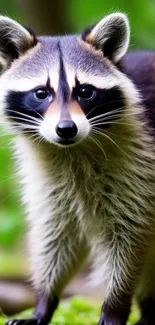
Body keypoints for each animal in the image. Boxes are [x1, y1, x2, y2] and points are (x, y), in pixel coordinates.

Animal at [0, 11, 155, 324]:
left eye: (85, 91)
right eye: (41, 93)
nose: (66, 128)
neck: (70, 150)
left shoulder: (139, 166)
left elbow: (130, 241)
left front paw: (115, 306)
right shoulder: (50, 185)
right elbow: (56, 237)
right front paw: (44, 301)